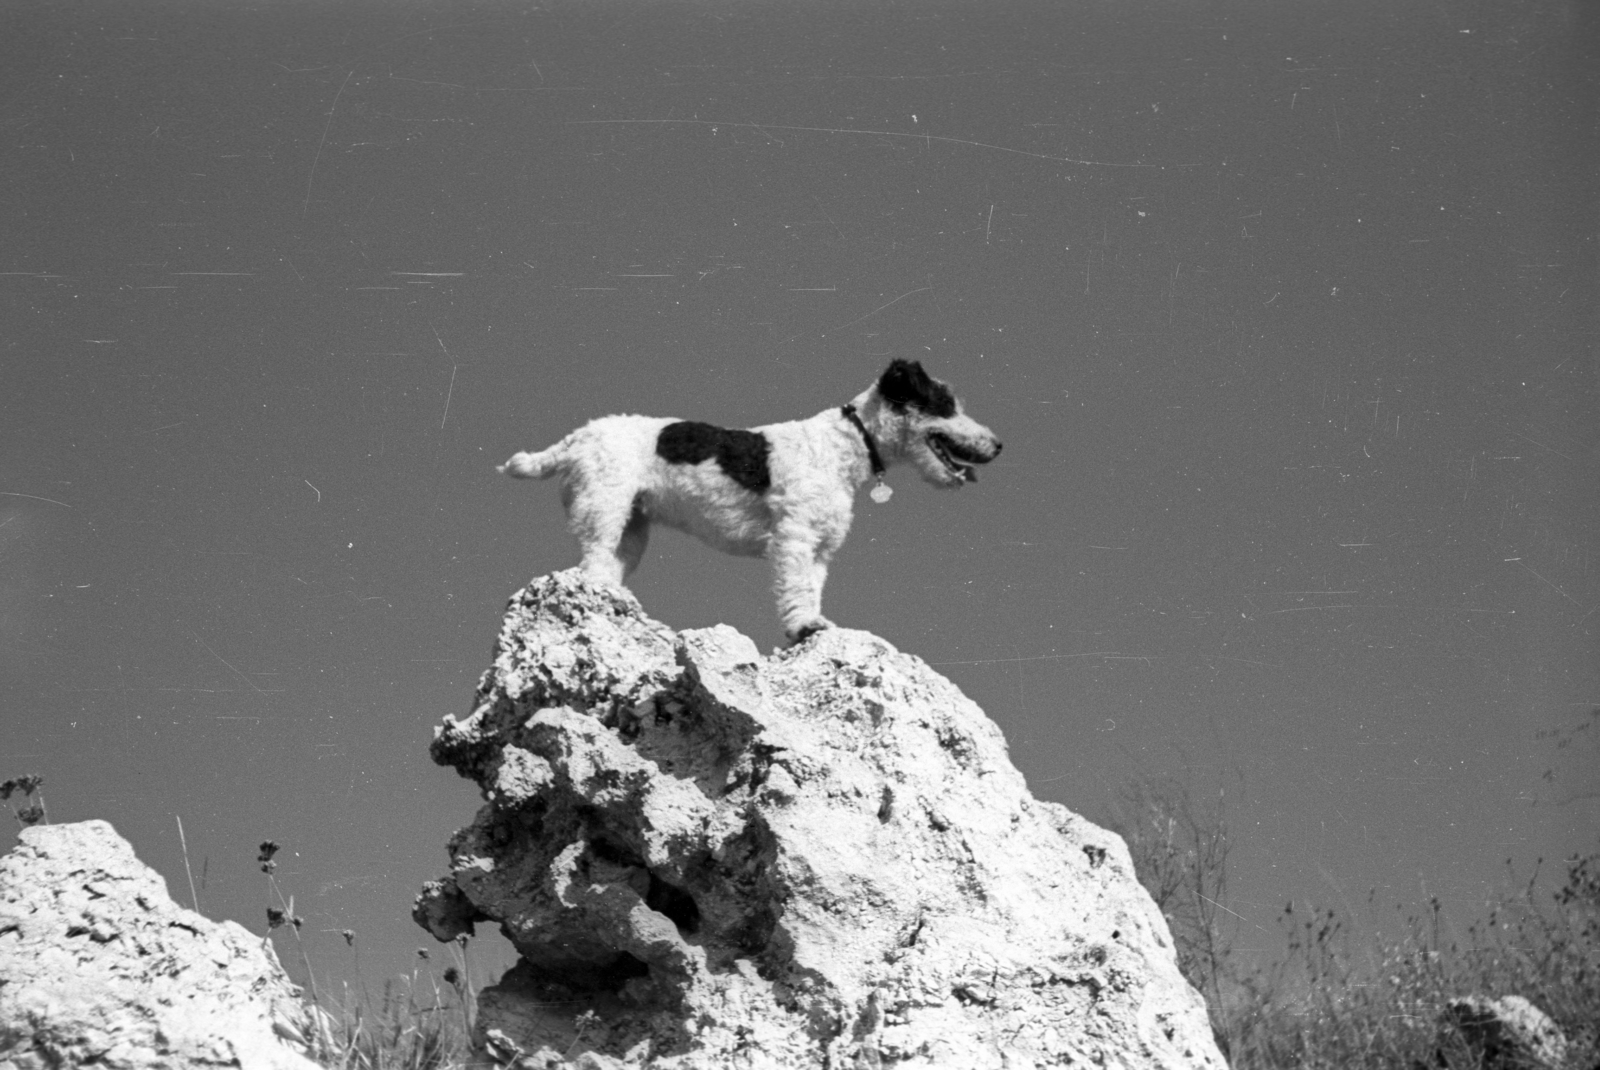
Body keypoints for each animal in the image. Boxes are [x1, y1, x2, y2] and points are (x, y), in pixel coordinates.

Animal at [499, 358, 998, 642]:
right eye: (944, 403)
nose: (997, 446)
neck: (846, 445)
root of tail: (577, 437)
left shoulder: (819, 548)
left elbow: (811, 590)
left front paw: (807, 628)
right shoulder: (794, 538)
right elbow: (795, 588)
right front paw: (804, 627)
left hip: (632, 529)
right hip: (604, 509)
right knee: (594, 563)